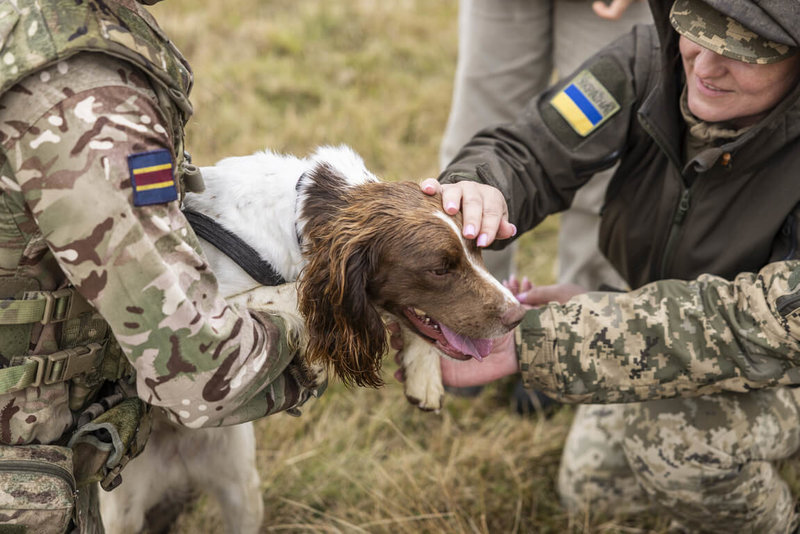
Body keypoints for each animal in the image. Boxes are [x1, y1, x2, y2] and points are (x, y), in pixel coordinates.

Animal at [100, 144, 524, 532]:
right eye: (439, 269)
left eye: (479, 248)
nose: (517, 314)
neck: (293, 225)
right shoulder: (189, 315)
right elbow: (296, 293)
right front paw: (316, 360)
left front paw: (424, 375)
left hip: (241, 490)